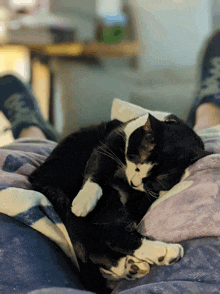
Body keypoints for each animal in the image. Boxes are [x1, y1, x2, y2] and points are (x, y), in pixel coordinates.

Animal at [28, 112, 211, 292]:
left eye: (154, 181)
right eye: (137, 164)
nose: (134, 183)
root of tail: (38, 180)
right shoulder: (109, 144)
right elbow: (97, 168)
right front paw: (83, 202)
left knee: (100, 242)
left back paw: (138, 264)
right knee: (103, 238)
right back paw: (162, 252)